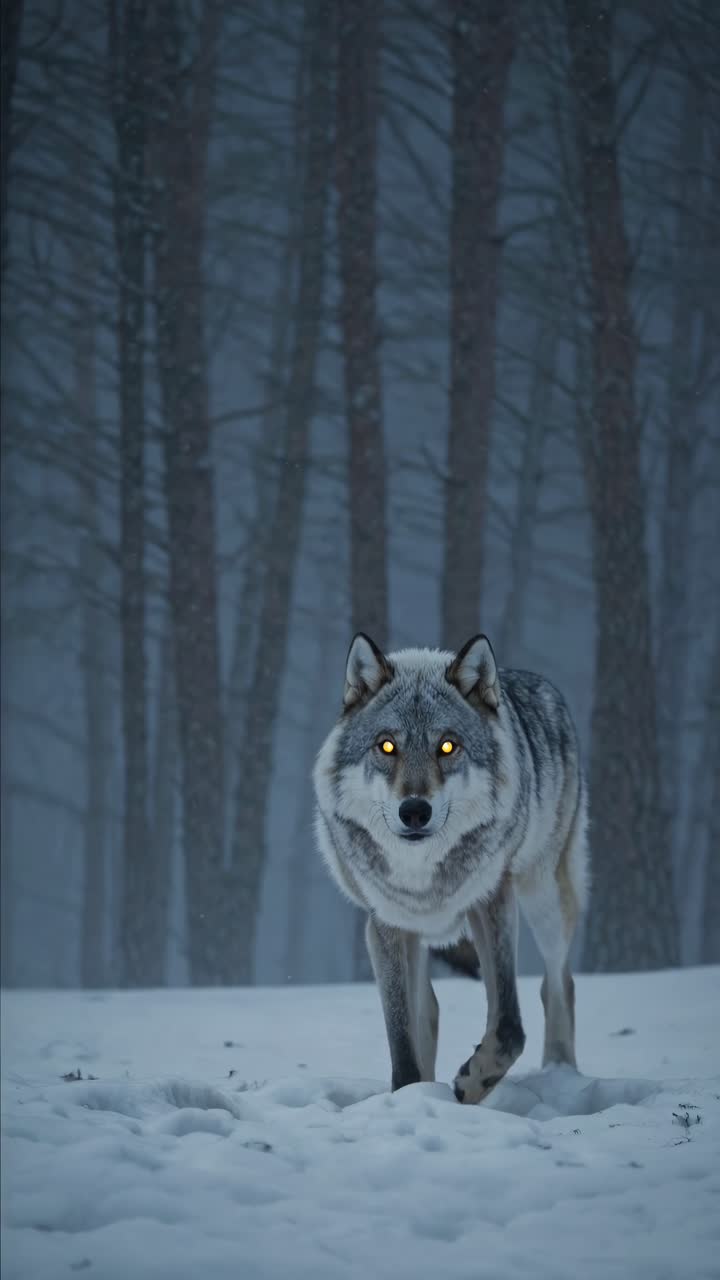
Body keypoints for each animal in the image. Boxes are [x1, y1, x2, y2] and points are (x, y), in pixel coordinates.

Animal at [313, 633, 589, 1103]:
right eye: (387, 746)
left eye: (447, 746)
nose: (414, 811)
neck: (422, 875)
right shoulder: (386, 924)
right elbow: (403, 1036)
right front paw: (413, 1096)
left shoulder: (493, 903)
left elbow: (508, 1027)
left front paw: (471, 1085)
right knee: (432, 1009)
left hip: (544, 900)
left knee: (559, 985)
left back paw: (561, 1076)